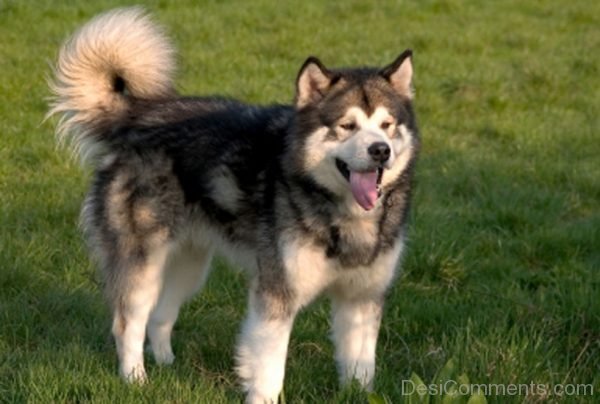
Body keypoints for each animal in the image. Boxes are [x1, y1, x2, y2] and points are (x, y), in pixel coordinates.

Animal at [48, 7, 418, 402]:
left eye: (387, 125)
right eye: (347, 126)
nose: (380, 150)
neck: (342, 213)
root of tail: (136, 118)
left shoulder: (362, 297)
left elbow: (361, 366)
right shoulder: (276, 295)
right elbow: (269, 369)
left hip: (190, 264)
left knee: (160, 316)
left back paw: (167, 365)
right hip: (142, 265)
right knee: (127, 324)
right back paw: (136, 380)